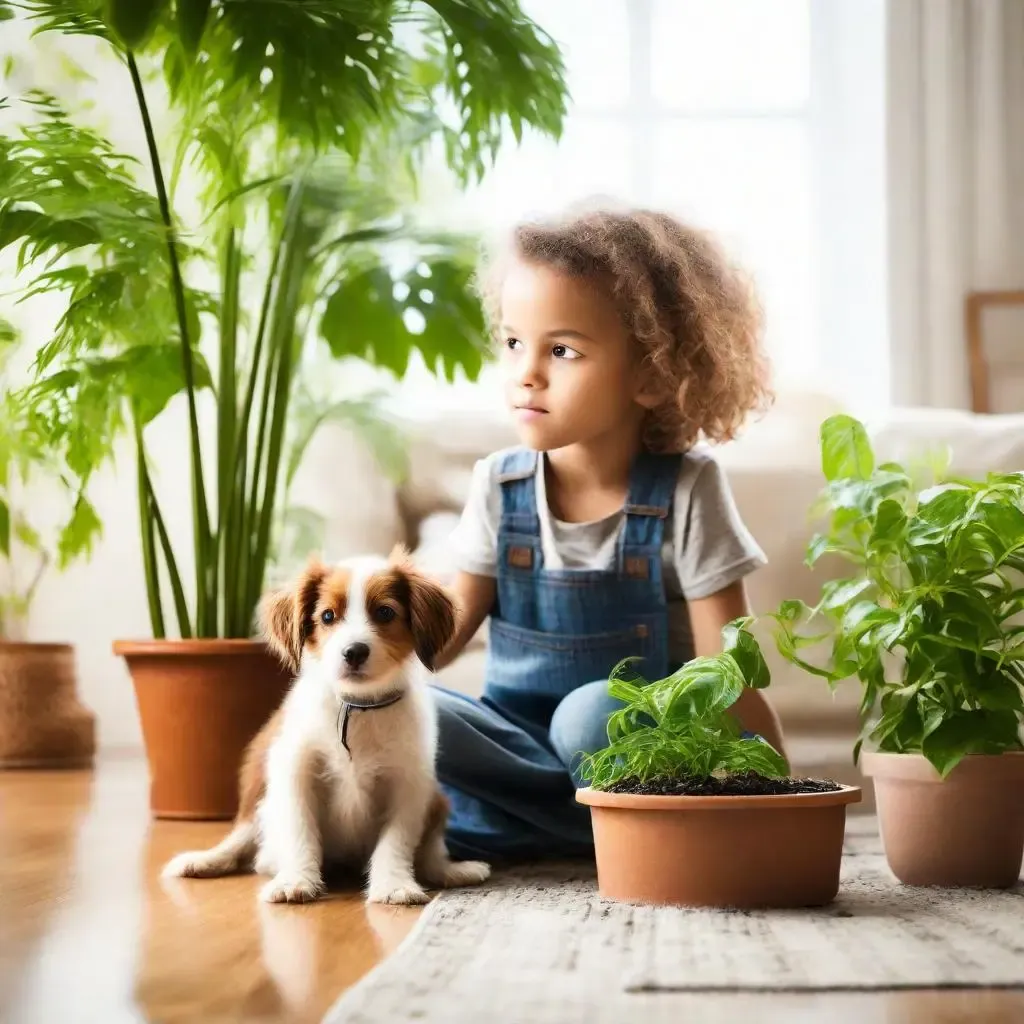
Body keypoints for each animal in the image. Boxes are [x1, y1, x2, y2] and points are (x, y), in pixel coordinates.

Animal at [163, 548, 491, 909]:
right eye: (328, 616)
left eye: (385, 612)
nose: (354, 652)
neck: (356, 707)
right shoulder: (295, 771)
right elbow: (300, 831)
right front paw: (296, 880)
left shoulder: (409, 783)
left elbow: (396, 841)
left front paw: (393, 885)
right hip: (260, 795)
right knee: (245, 840)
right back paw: (210, 860)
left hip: (438, 802)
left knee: (430, 854)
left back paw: (452, 871)